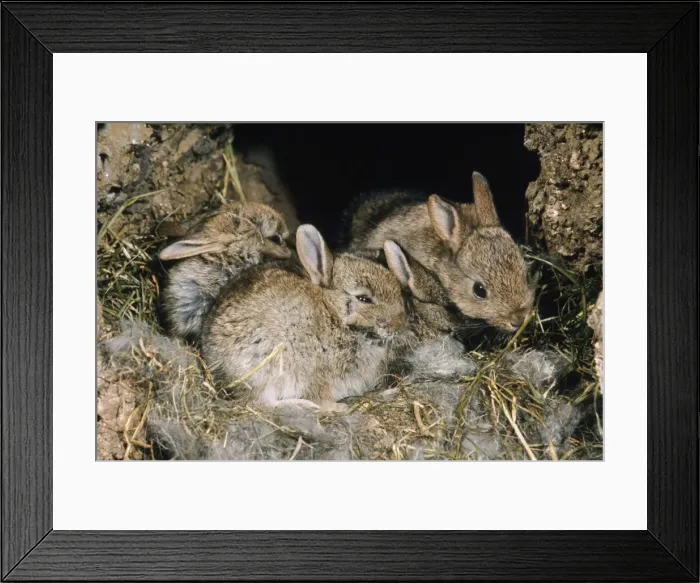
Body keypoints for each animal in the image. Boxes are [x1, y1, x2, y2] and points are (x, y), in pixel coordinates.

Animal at [200, 224, 413, 408]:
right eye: (363, 298)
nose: (398, 324)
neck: (333, 312)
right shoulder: (317, 374)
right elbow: (319, 395)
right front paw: (337, 408)